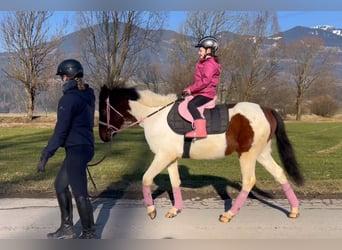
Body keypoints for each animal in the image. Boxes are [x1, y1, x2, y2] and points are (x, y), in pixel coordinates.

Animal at [97, 85, 304, 223]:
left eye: (102, 110)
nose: (103, 136)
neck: (156, 116)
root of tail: (266, 110)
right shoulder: (170, 158)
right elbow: (175, 182)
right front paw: (175, 209)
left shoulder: (162, 156)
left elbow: (146, 178)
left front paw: (151, 210)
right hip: (261, 154)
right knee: (279, 173)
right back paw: (294, 209)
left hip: (248, 155)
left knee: (249, 181)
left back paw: (229, 214)